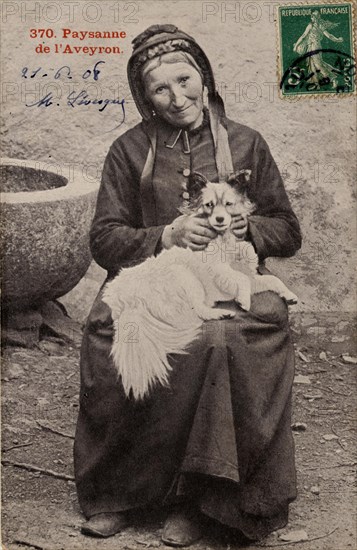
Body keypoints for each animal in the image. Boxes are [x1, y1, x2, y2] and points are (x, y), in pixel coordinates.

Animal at [101, 172, 296, 402]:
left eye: (228, 204)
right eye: (209, 205)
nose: (219, 219)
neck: (225, 241)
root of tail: (129, 301)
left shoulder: (254, 277)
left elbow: (272, 280)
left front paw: (289, 295)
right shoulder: (222, 271)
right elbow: (241, 279)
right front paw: (244, 301)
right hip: (185, 276)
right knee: (199, 310)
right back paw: (220, 313)